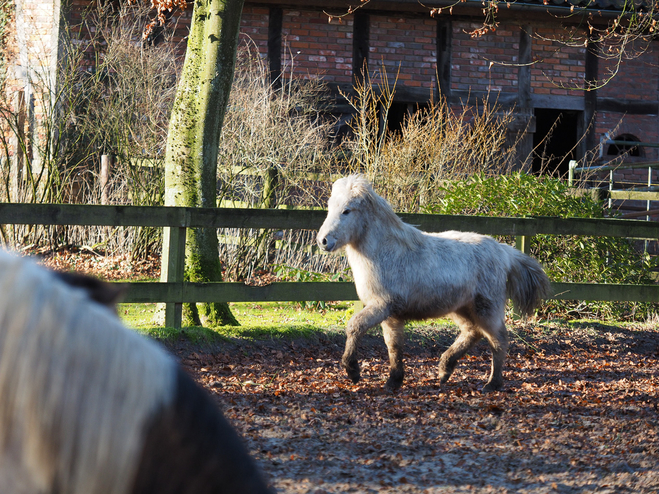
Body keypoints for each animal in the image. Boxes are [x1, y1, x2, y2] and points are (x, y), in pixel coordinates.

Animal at [316, 176, 552, 392]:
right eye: (330, 207)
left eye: (347, 210)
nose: (323, 241)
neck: (386, 252)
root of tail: (503, 251)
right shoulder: (391, 315)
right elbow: (393, 346)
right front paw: (393, 381)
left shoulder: (382, 306)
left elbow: (354, 326)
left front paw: (353, 371)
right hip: (462, 309)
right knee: (472, 333)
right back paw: (444, 370)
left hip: (487, 310)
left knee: (498, 341)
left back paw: (492, 383)